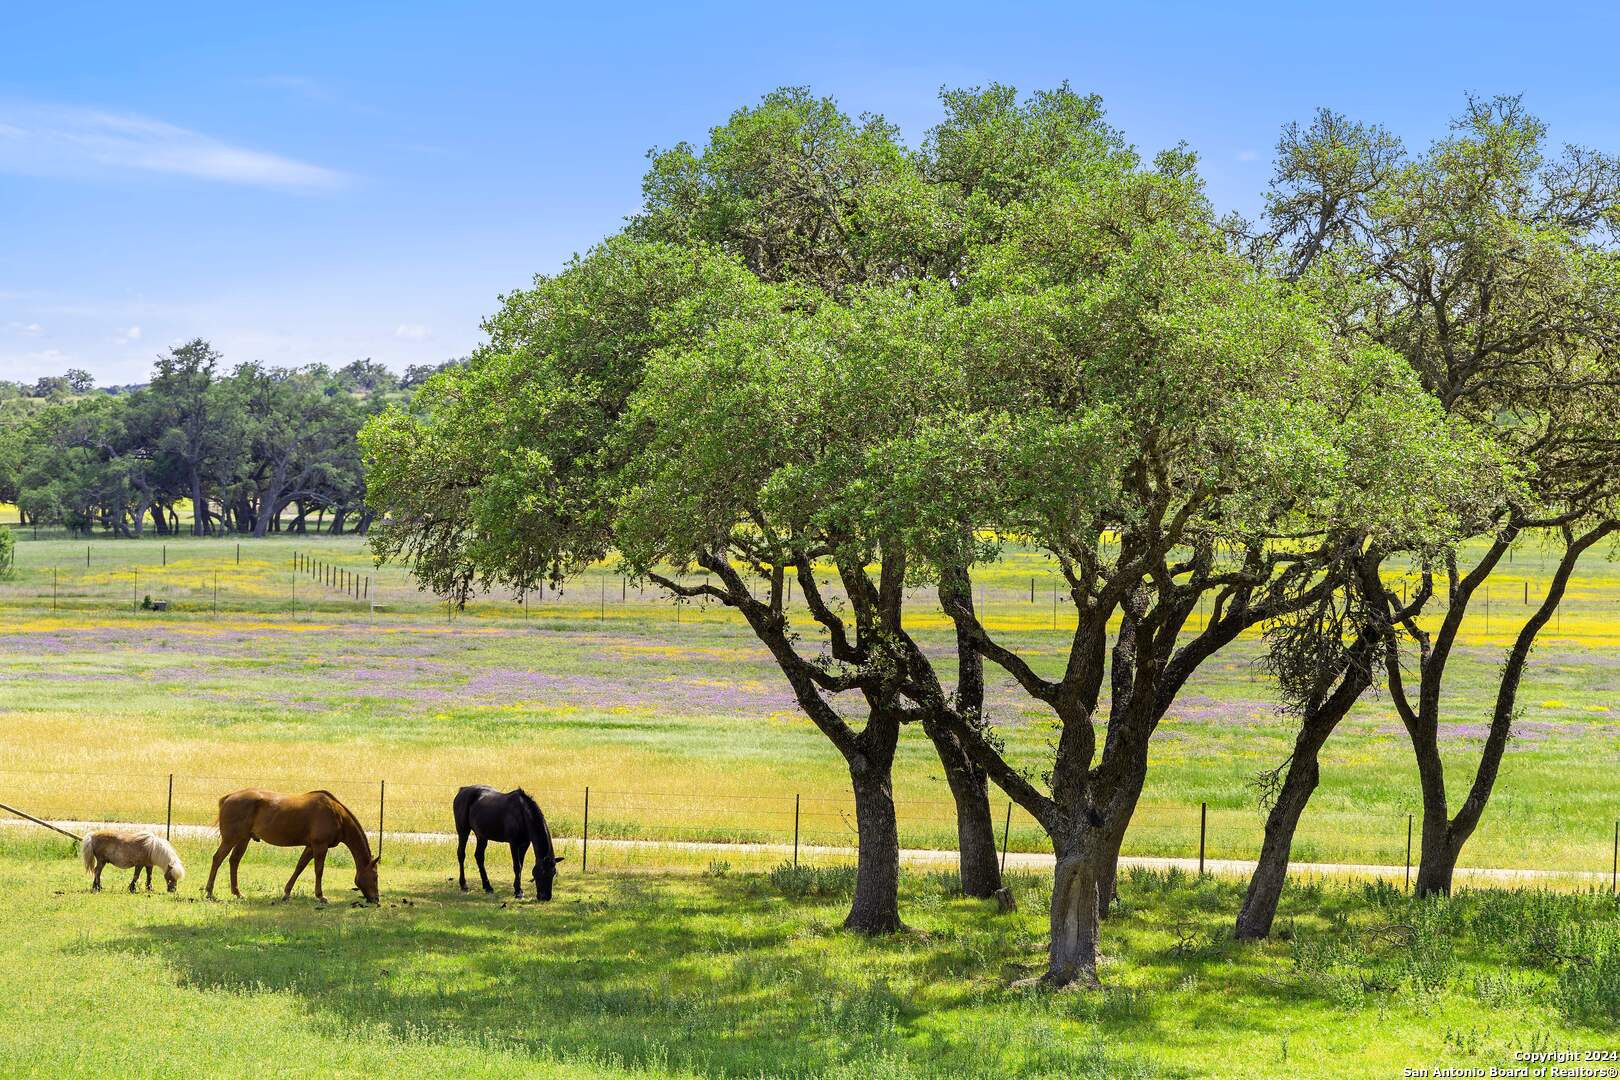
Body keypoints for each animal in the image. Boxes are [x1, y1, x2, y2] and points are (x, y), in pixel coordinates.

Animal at [201, 786, 375, 906]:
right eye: (375, 876)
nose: (376, 899)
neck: (336, 814)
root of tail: (228, 797)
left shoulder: (310, 846)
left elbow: (299, 867)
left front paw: (286, 894)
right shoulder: (320, 845)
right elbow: (319, 871)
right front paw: (320, 896)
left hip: (243, 839)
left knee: (234, 861)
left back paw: (237, 893)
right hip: (231, 839)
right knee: (217, 859)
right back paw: (209, 892)